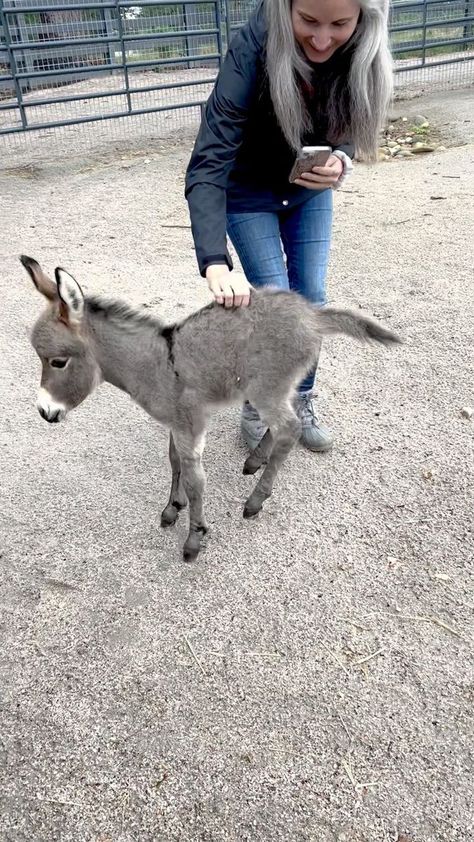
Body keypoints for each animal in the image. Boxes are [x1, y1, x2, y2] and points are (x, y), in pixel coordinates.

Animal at [22, 253, 400, 560]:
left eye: (57, 362)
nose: (44, 412)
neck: (157, 364)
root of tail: (311, 314)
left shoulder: (190, 425)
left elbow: (195, 481)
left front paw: (194, 537)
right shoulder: (176, 423)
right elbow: (174, 462)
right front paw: (172, 508)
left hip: (264, 389)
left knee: (289, 428)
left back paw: (255, 501)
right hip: (277, 386)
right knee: (287, 416)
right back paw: (255, 460)